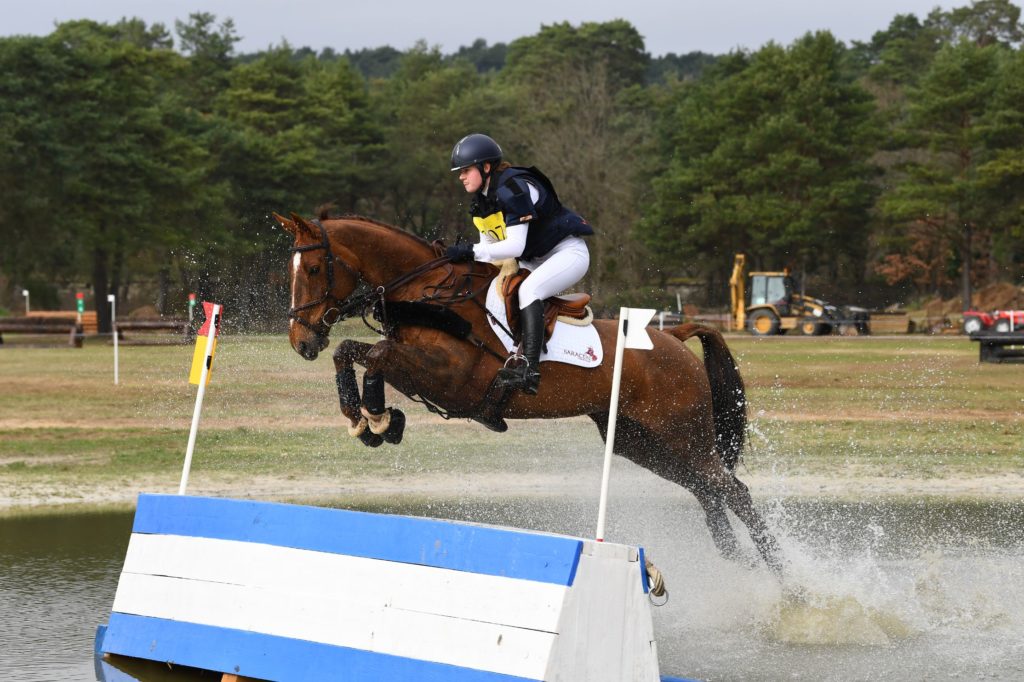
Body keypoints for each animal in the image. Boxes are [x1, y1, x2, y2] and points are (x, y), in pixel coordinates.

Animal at [276, 209, 778, 569]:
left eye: (316, 268)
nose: (301, 342)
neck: (428, 290)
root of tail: (674, 336)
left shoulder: (449, 376)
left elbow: (369, 353)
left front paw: (375, 418)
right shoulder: (414, 365)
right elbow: (354, 352)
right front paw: (372, 419)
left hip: (681, 434)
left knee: (734, 492)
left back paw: (786, 588)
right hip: (643, 442)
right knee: (707, 490)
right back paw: (737, 562)